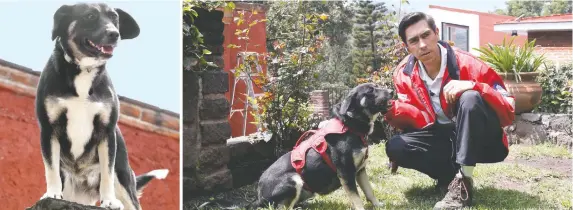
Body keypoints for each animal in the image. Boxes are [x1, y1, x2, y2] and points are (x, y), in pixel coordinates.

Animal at [35, 2, 166, 210]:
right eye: (90, 16)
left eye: (115, 18)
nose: (115, 34)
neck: (84, 70)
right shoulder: (49, 130)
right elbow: (51, 170)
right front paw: (52, 193)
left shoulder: (106, 132)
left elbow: (107, 173)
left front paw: (109, 200)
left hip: (124, 179)